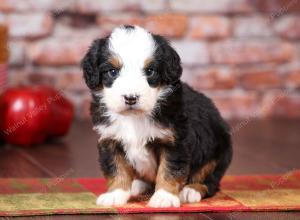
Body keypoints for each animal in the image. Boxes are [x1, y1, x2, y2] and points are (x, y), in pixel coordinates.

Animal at [81, 24, 232, 207]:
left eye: (150, 71)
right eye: (112, 71)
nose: (131, 98)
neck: (134, 117)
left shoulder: (175, 141)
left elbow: (169, 170)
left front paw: (164, 197)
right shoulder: (110, 139)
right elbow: (116, 168)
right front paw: (115, 194)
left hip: (217, 153)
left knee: (210, 181)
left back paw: (191, 190)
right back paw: (137, 185)